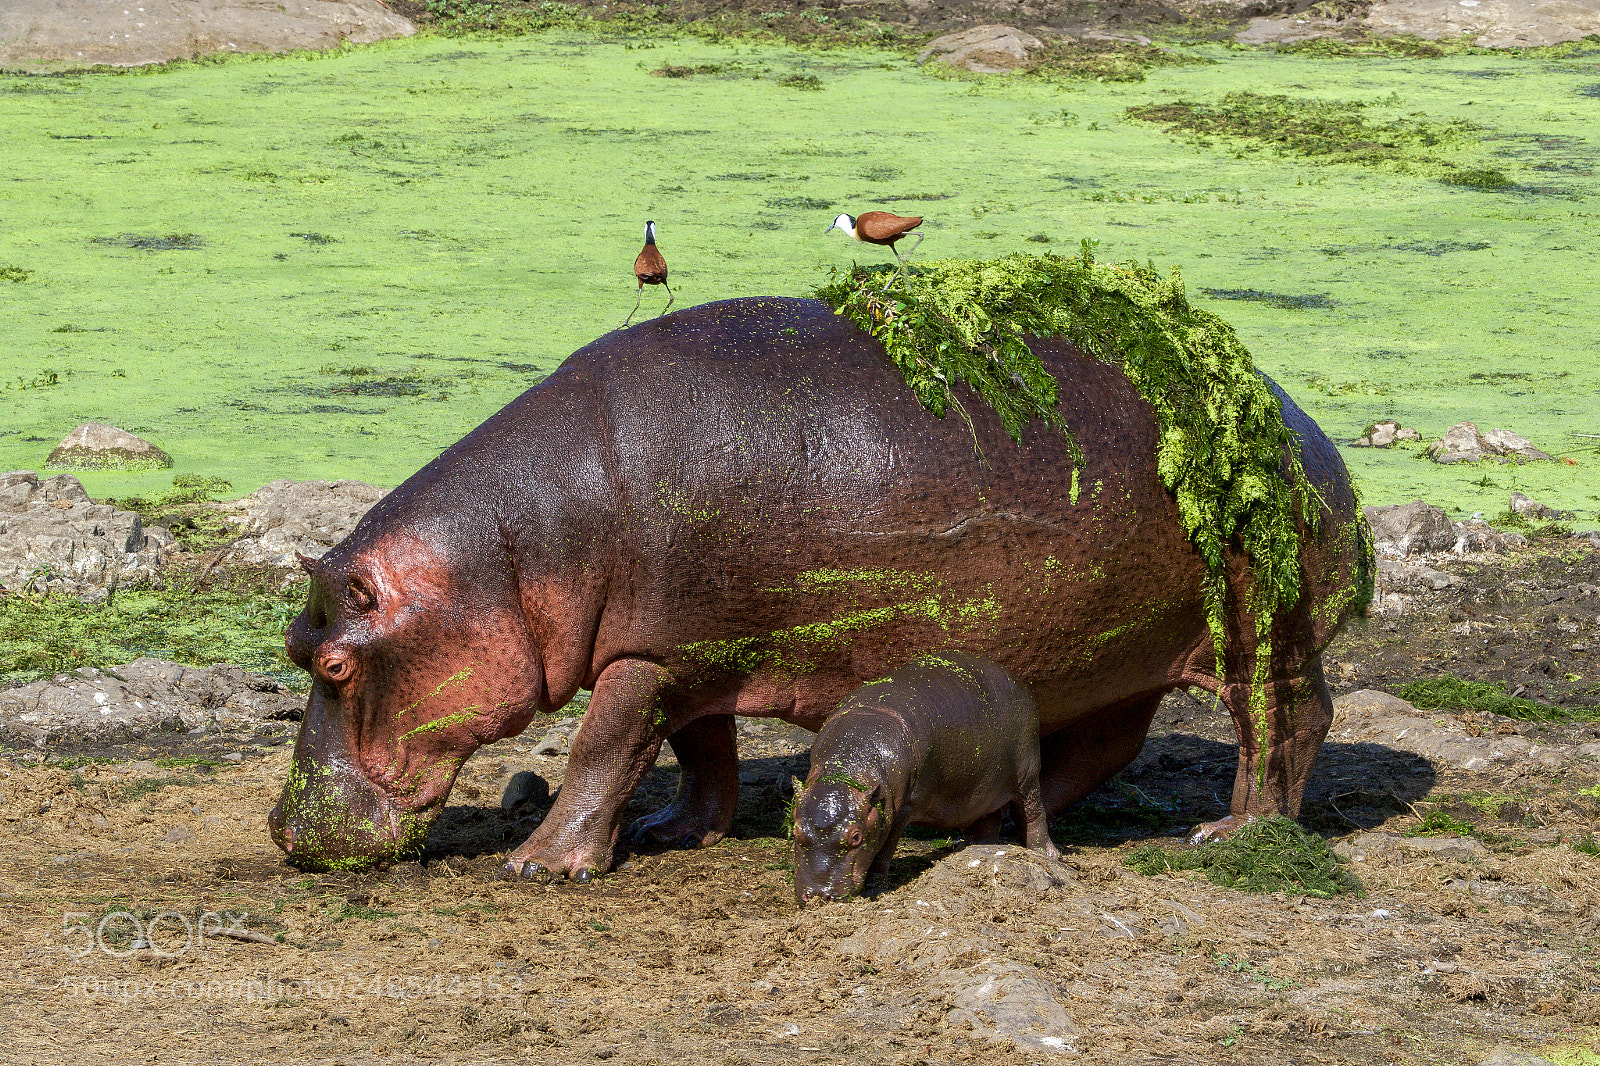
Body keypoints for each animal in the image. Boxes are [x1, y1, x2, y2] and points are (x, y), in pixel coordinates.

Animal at [269, 295, 1371, 878]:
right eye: (290, 647)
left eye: (335, 663)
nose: (279, 828)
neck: (508, 552)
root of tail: (1297, 423)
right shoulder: (696, 650)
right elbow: (698, 750)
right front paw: (676, 831)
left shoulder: (650, 655)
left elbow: (602, 750)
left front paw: (542, 863)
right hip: (1110, 650)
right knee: (1106, 742)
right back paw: (975, 827)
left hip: (1259, 630)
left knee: (1287, 720)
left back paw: (1232, 830)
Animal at [792, 651, 1057, 905]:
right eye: (795, 832)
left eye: (856, 837)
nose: (818, 895)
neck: (849, 768)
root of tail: (1017, 681)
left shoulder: (903, 810)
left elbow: (882, 853)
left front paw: (875, 890)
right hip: (983, 789)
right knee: (987, 822)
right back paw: (977, 851)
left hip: (1027, 775)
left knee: (1033, 814)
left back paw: (1047, 855)